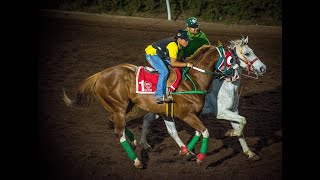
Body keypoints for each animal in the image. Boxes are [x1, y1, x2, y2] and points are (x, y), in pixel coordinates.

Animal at [62, 44, 225, 168]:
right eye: (229, 58)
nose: (231, 76)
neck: (192, 81)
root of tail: (100, 74)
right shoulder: (186, 114)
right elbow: (204, 132)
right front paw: (199, 158)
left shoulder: (170, 113)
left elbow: (178, 132)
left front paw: (187, 152)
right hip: (119, 106)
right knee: (119, 132)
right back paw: (137, 161)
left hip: (123, 105)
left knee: (116, 122)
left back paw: (135, 141)